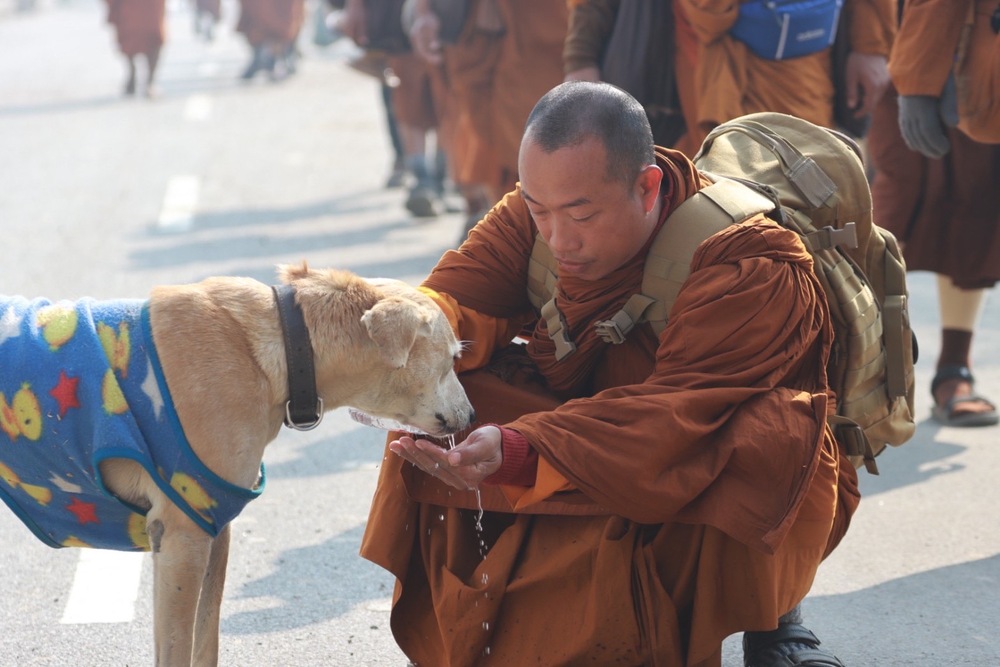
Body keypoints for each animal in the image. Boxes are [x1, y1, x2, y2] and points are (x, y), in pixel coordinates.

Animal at [0, 264, 474, 664]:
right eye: (453, 357)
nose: (472, 417)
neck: (283, 345)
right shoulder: (182, 535)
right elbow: (177, 646)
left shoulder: (213, 528)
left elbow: (205, 638)